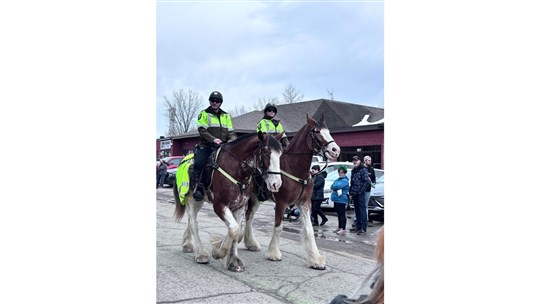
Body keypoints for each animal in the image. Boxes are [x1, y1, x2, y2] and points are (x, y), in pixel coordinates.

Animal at [243, 115, 340, 270]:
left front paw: (315, 259)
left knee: (249, 216)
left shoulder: (305, 203)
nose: (335, 150)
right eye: (317, 131)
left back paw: (250, 243)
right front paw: (274, 253)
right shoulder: (281, 203)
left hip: (257, 198)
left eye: (329, 131)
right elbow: (278, 227)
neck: (295, 169)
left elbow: (309, 230)